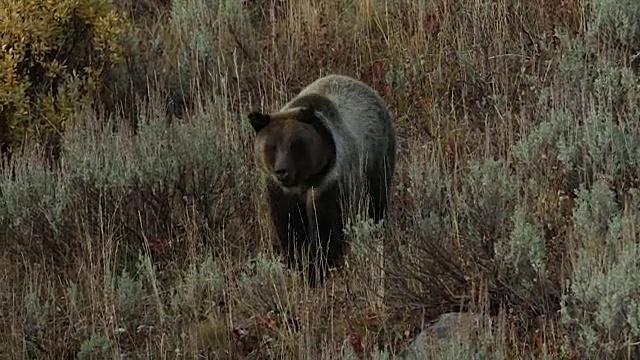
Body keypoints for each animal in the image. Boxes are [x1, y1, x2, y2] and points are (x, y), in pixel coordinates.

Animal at [249, 74, 396, 286]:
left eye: (294, 144)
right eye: (272, 146)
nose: (282, 171)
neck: (305, 180)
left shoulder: (329, 185)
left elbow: (326, 230)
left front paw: (319, 266)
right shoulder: (282, 195)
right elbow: (290, 230)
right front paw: (300, 264)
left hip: (377, 161)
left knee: (376, 203)